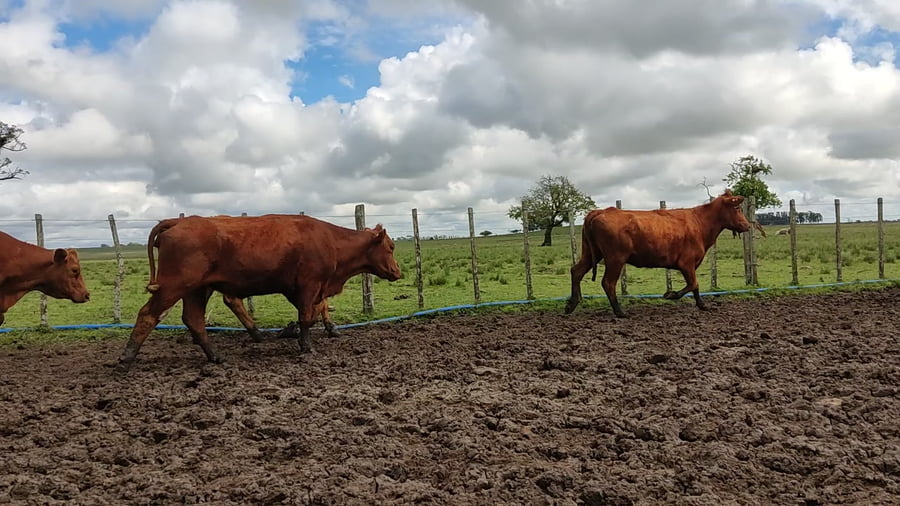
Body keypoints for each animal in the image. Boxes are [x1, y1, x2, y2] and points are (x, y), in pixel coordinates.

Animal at [116, 214, 401, 372]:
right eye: (391, 246)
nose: (397, 272)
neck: (330, 240)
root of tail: (179, 221)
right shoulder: (309, 286)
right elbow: (307, 317)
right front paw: (307, 346)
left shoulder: (303, 290)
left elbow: (311, 314)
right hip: (174, 287)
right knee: (148, 315)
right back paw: (126, 359)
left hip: (196, 289)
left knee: (194, 320)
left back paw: (216, 356)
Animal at [565, 190, 751, 318]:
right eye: (737, 208)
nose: (747, 225)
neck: (699, 222)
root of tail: (600, 211)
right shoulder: (686, 263)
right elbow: (693, 284)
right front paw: (671, 294)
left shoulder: (689, 265)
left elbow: (695, 286)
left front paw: (702, 305)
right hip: (615, 258)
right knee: (608, 283)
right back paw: (620, 312)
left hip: (591, 253)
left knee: (576, 271)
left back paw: (571, 304)